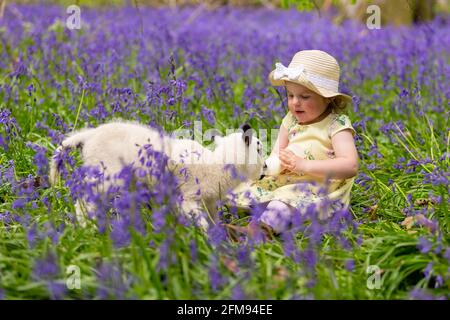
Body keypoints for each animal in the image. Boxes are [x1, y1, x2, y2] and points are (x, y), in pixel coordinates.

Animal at [49, 119, 266, 229]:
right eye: (259, 149)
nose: (264, 170)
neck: (217, 165)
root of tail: (90, 135)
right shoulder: (187, 198)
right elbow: (200, 222)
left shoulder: (209, 201)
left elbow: (213, 219)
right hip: (104, 174)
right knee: (85, 201)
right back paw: (88, 226)